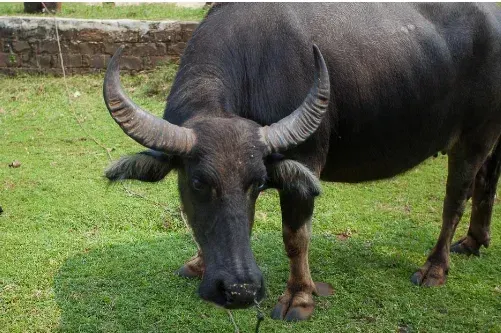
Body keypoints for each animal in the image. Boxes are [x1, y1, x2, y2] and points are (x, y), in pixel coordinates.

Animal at [102, 1, 500, 320]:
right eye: (198, 182)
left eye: (258, 182)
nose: (240, 291)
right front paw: (200, 263)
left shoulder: (304, 162)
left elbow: (295, 237)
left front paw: (299, 298)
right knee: (487, 181)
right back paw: (474, 241)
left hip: (474, 137)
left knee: (456, 199)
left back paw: (435, 268)